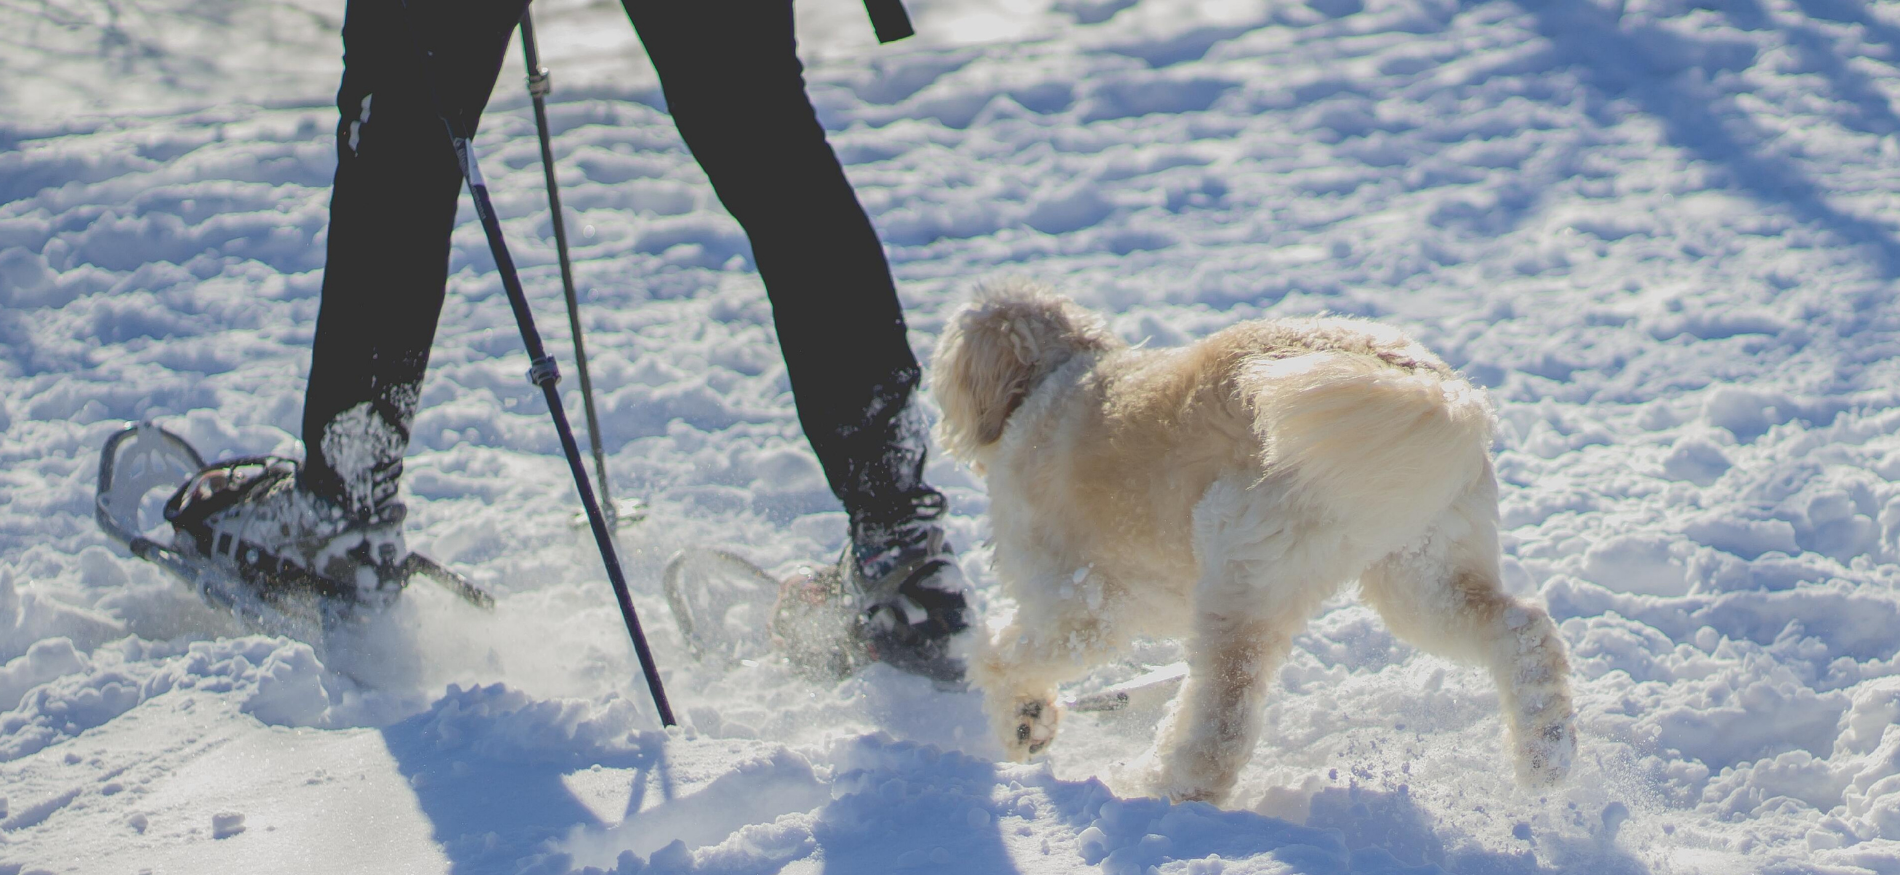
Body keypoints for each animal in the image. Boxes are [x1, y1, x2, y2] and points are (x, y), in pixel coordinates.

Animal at [931, 280, 1573, 804]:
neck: (1052, 379)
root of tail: (1428, 386)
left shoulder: (1079, 607)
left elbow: (1001, 659)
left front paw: (1022, 719)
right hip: (1423, 575)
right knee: (1523, 631)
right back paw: (1546, 756)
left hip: (1240, 572)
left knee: (1222, 721)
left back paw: (1161, 789)